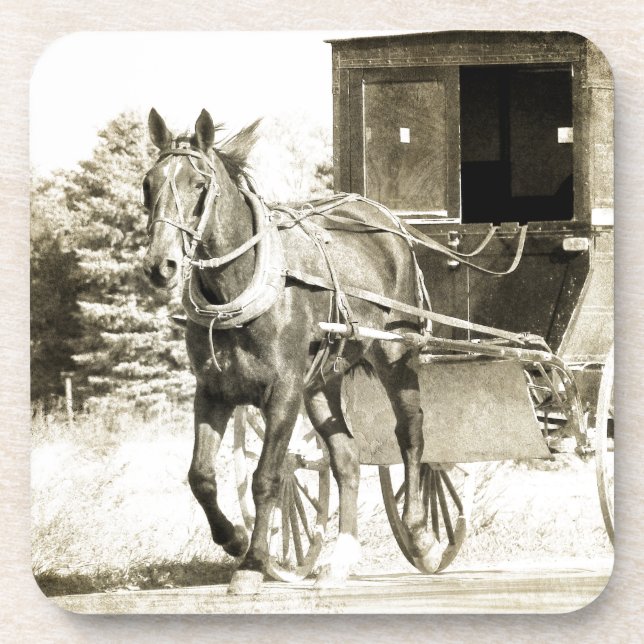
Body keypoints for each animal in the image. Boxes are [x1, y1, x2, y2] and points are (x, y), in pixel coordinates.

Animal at [142, 108, 441, 594]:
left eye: (199, 183)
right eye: (148, 183)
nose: (159, 264)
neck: (241, 287)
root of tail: (385, 219)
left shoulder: (282, 391)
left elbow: (268, 476)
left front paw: (251, 564)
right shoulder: (212, 392)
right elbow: (201, 476)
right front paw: (232, 538)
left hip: (397, 355)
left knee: (411, 433)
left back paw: (420, 534)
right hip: (321, 381)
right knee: (346, 458)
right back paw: (341, 558)